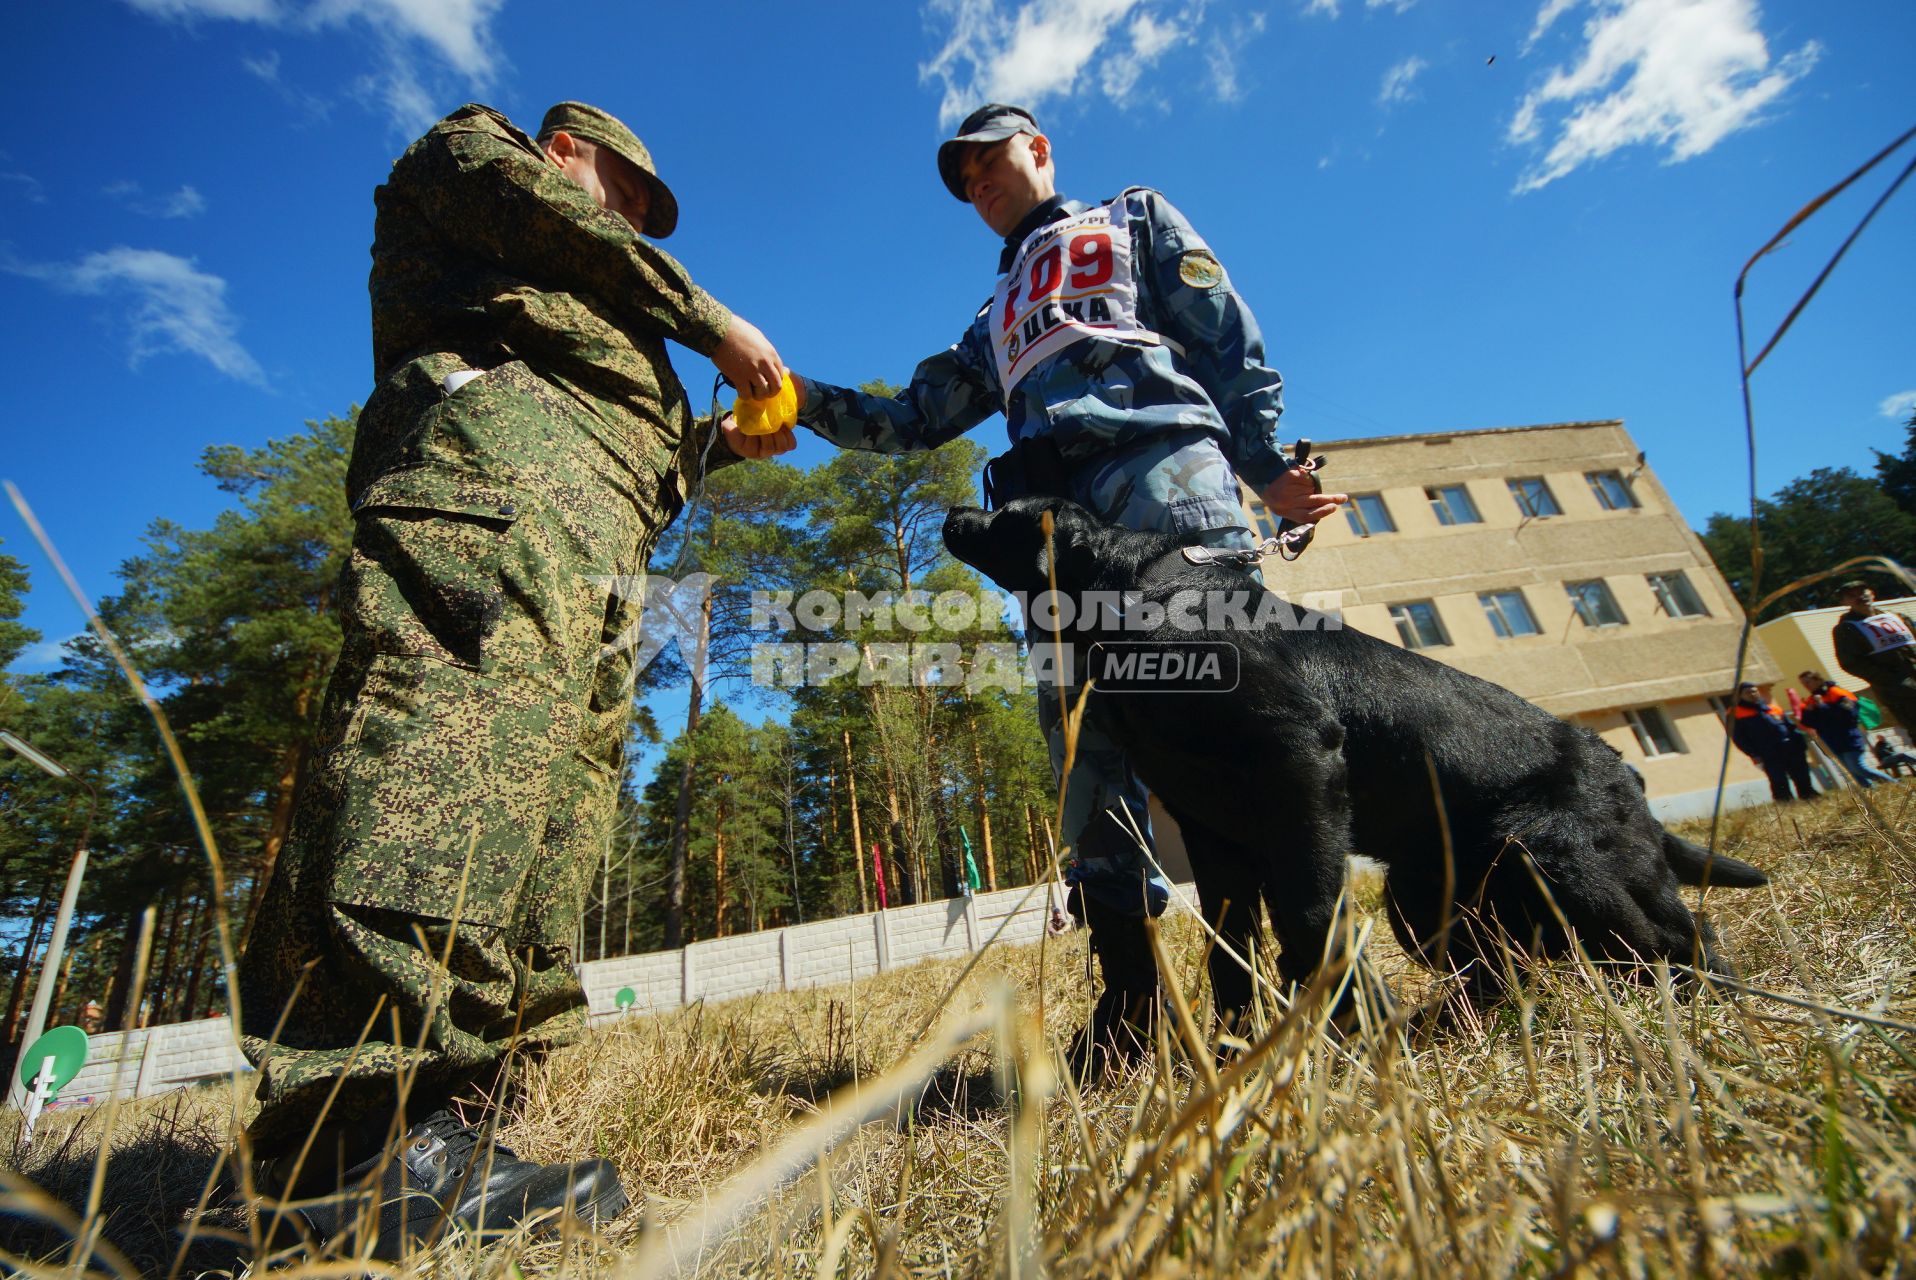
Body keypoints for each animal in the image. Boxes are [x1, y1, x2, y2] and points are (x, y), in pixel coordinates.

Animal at [942, 494, 1762, 1027]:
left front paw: (1355, 1014)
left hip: (1553, 858)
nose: (952, 516)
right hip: (1427, 900)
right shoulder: (1210, 827)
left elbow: (1309, 915)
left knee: (1679, 937)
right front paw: (1239, 1056)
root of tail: (1630, 776)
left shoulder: (1299, 762)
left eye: (1006, 510)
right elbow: (1230, 947)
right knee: (1508, 964)